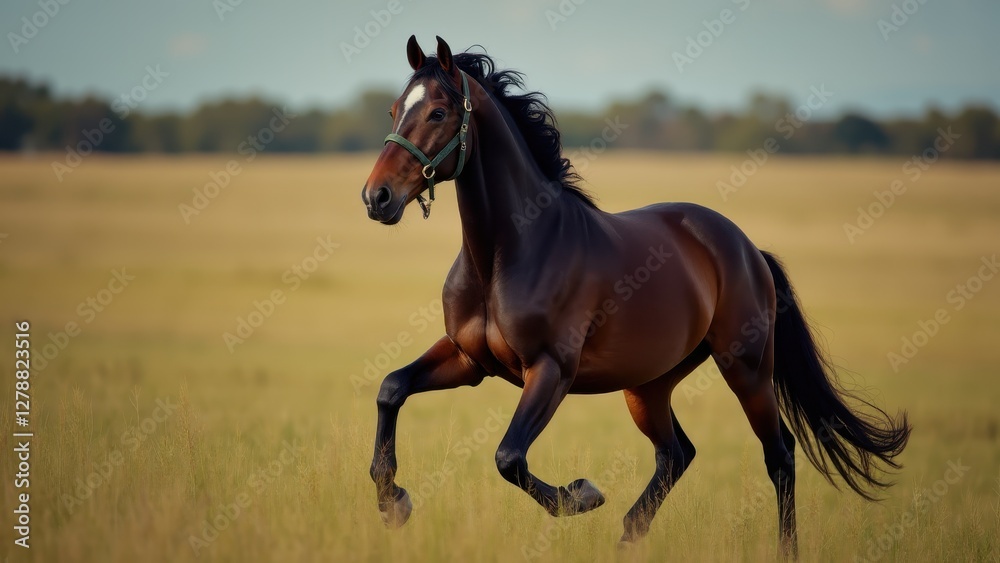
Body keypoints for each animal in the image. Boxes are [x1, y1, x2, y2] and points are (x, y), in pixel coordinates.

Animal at [361, 35, 910, 554]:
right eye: (393, 110)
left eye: (438, 112)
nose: (376, 197)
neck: (508, 251)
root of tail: (747, 248)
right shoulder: (468, 359)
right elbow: (392, 389)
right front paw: (393, 503)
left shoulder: (550, 370)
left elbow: (508, 457)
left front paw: (583, 494)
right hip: (648, 385)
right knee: (676, 454)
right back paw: (630, 535)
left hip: (747, 368)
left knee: (779, 455)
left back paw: (781, 548)